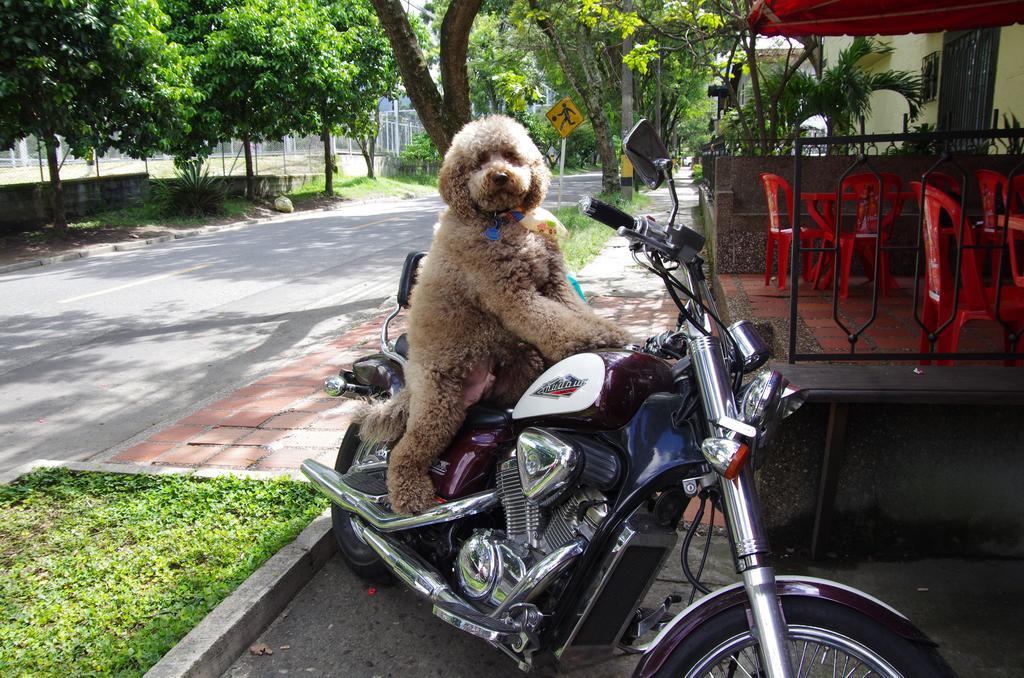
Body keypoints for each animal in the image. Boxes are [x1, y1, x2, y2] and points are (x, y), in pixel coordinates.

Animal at [360, 115, 630, 516]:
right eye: (478, 161)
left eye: (512, 155)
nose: (500, 176)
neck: (503, 220)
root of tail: (409, 379)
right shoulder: (511, 295)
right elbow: (557, 323)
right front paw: (595, 339)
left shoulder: (553, 282)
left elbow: (575, 311)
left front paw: (609, 330)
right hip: (439, 403)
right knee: (404, 452)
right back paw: (410, 496)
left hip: (514, 364)